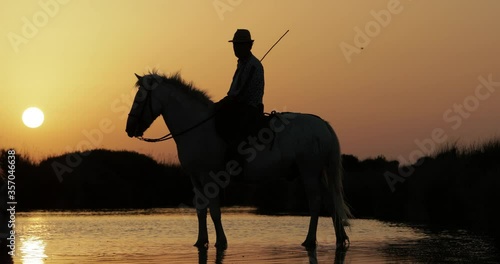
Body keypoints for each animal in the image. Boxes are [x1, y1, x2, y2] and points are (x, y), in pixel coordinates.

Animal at [125, 71, 352, 250]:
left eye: (139, 97)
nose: (129, 128)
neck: (196, 127)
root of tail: (323, 125)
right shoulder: (195, 178)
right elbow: (200, 210)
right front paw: (201, 241)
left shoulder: (209, 177)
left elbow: (215, 211)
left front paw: (221, 241)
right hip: (317, 173)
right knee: (330, 201)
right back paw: (340, 238)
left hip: (309, 172)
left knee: (315, 203)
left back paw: (310, 240)